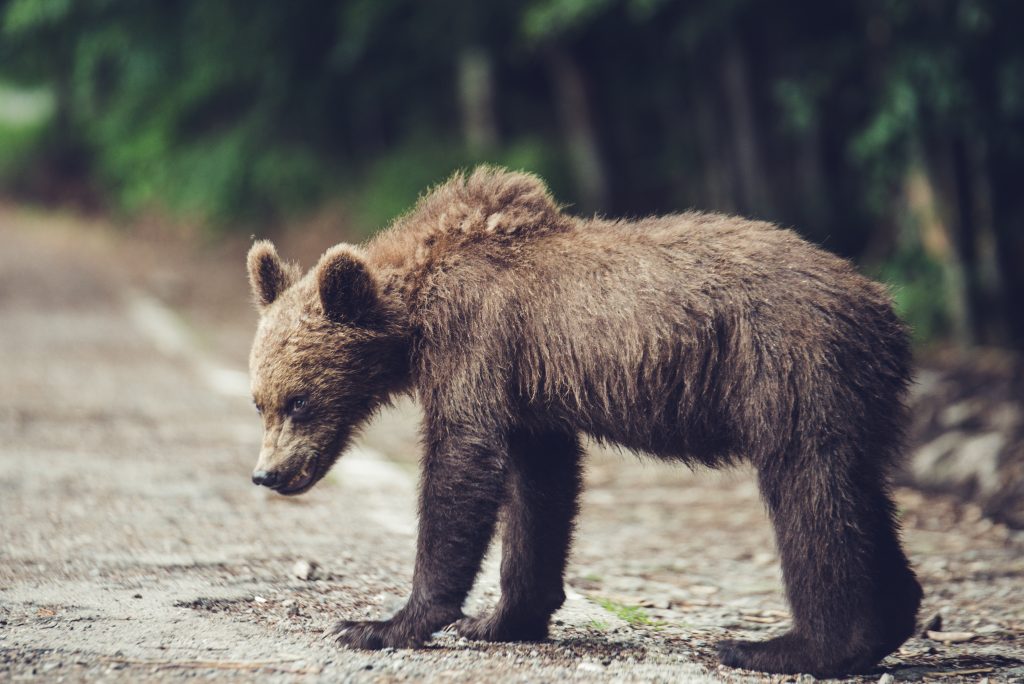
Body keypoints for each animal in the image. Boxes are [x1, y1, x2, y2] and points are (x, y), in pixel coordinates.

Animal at [246, 166, 922, 677]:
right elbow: (540, 490)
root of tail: (884, 306)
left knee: (809, 491)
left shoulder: (476, 348)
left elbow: (462, 466)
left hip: (789, 368)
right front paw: (499, 618)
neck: (414, 317)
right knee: (860, 492)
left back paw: (785, 647)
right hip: (851, 395)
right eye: (260, 401)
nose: (267, 475)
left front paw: (382, 623)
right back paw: (887, 621)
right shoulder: (530, 385)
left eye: (299, 400)